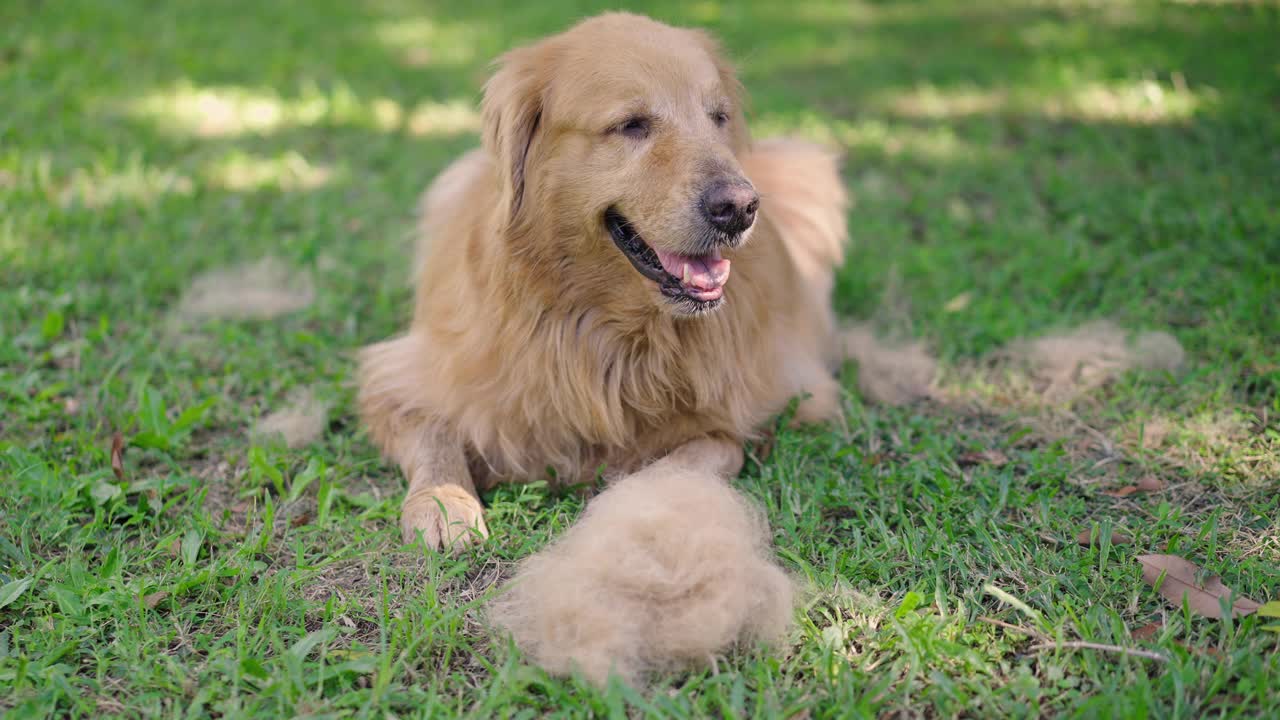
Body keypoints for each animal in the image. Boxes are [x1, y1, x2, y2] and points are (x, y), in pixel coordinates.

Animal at [358, 11, 849, 545]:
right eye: (631, 125)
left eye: (718, 118)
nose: (739, 208)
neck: (604, 327)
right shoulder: (404, 372)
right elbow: (435, 432)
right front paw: (444, 503)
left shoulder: (781, 397)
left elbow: (703, 453)